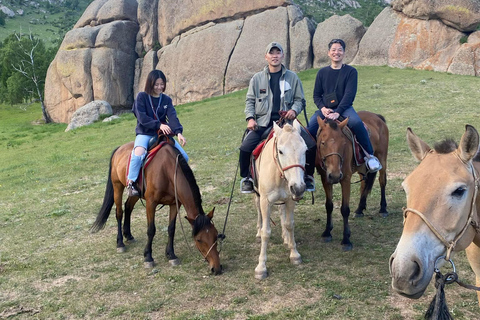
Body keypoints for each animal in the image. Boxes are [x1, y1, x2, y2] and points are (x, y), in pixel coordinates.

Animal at [90, 140, 223, 276]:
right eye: (199, 240)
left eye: (216, 235)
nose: (217, 268)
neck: (167, 171)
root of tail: (119, 149)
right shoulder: (151, 203)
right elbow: (151, 230)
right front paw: (148, 257)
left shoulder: (174, 204)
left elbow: (171, 229)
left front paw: (171, 255)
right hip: (117, 186)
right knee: (119, 213)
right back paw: (120, 243)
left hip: (135, 193)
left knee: (128, 207)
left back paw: (129, 235)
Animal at [253, 120, 306, 280]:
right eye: (281, 151)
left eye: (305, 150)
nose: (299, 188)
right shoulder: (265, 202)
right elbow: (266, 232)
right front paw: (261, 267)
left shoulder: (290, 200)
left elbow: (289, 224)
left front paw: (294, 254)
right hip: (257, 195)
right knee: (258, 210)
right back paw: (258, 232)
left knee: (282, 211)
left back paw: (286, 238)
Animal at [316, 111, 390, 251]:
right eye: (323, 143)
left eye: (343, 144)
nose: (335, 175)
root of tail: (377, 116)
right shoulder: (325, 179)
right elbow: (329, 205)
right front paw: (327, 232)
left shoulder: (345, 179)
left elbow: (345, 209)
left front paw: (346, 240)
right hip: (362, 168)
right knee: (364, 184)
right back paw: (360, 209)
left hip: (382, 157)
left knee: (382, 181)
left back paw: (383, 209)